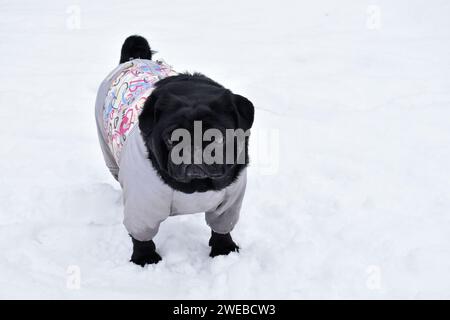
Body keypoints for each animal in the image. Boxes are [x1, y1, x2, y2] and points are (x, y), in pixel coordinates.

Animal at [94, 35, 253, 266]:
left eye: (216, 137)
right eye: (172, 138)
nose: (193, 150)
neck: (197, 188)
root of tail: (133, 59)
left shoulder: (230, 202)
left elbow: (222, 228)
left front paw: (224, 250)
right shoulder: (142, 205)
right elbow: (142, 236)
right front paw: (145, 259)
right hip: (109, 155)